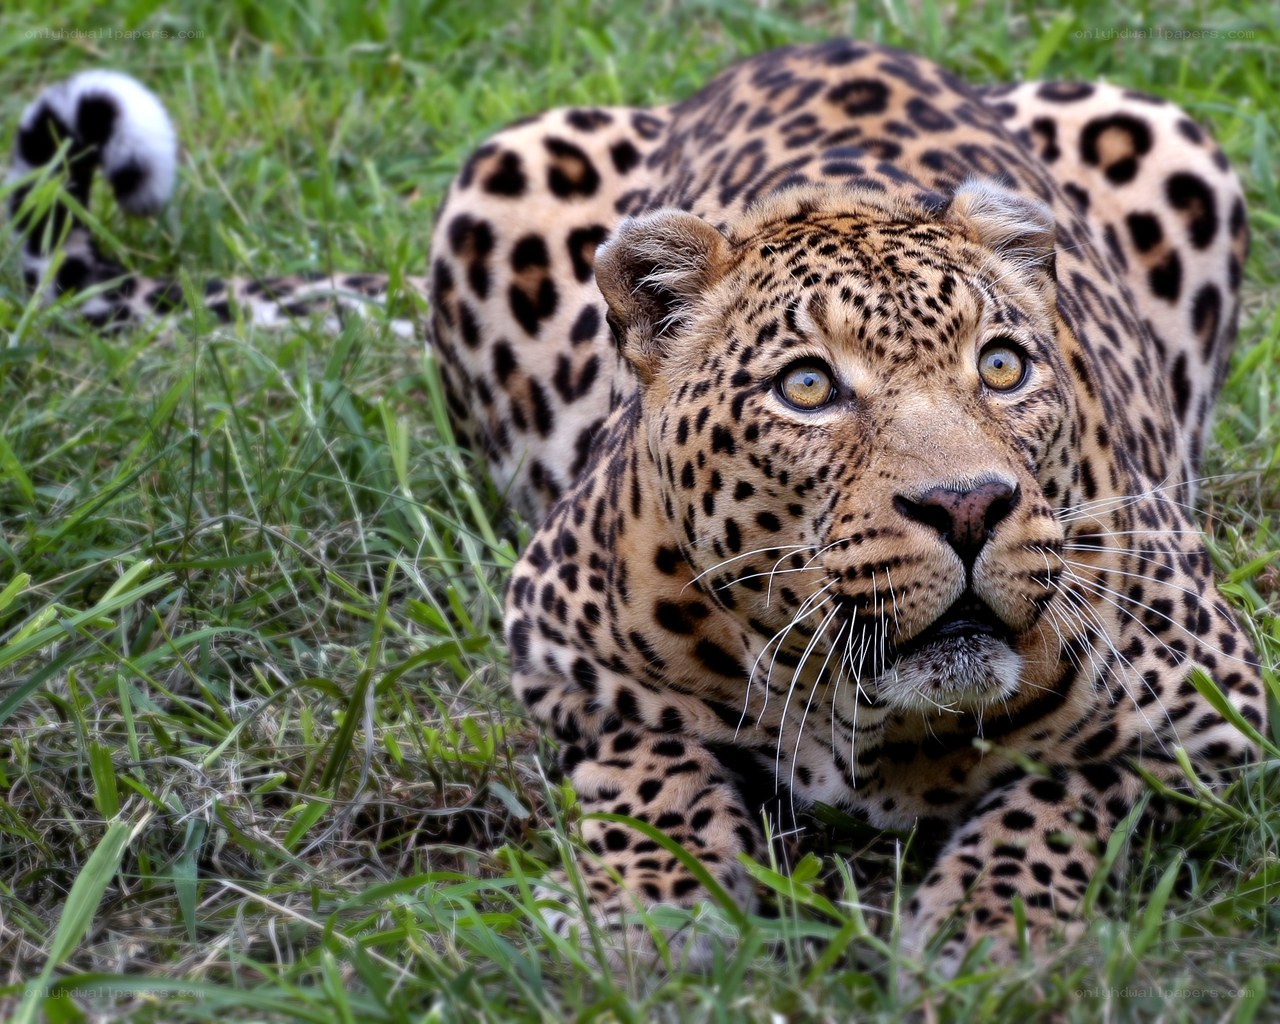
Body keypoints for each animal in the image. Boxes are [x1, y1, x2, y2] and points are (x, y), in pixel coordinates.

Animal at [8, 41, 1267, 976]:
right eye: (806, 387)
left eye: (1002, 367)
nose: (966, 505)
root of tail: (817, 39)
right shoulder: (554, 645)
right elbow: (647, 758)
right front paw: (649, 915)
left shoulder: (1217, 711)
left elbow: (1064, 786)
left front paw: (987, 926)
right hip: (505, 167)